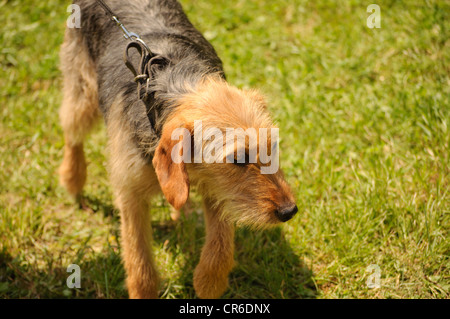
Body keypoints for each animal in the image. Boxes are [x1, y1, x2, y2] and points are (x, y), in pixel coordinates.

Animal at [59, 0, 298, 300]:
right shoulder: (130, 195)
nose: (289, 211)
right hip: (82, 95)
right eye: (238, 158)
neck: (172, 86)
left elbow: (221, 243)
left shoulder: (216, 187)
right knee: (72, 134)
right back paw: (73, 180)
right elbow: (140, 266)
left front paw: (209, 281)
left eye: (272, 146)